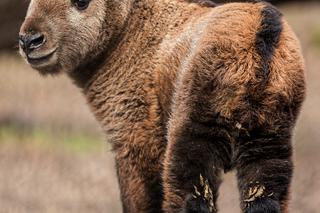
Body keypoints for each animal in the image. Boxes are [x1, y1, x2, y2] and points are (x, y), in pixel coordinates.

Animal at [19, 0, 304, 213]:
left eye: (81, 1)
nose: (30, 41)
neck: (128, 31)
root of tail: (261, 33)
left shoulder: (136, 144)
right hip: (268, 144)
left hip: (191, 139)